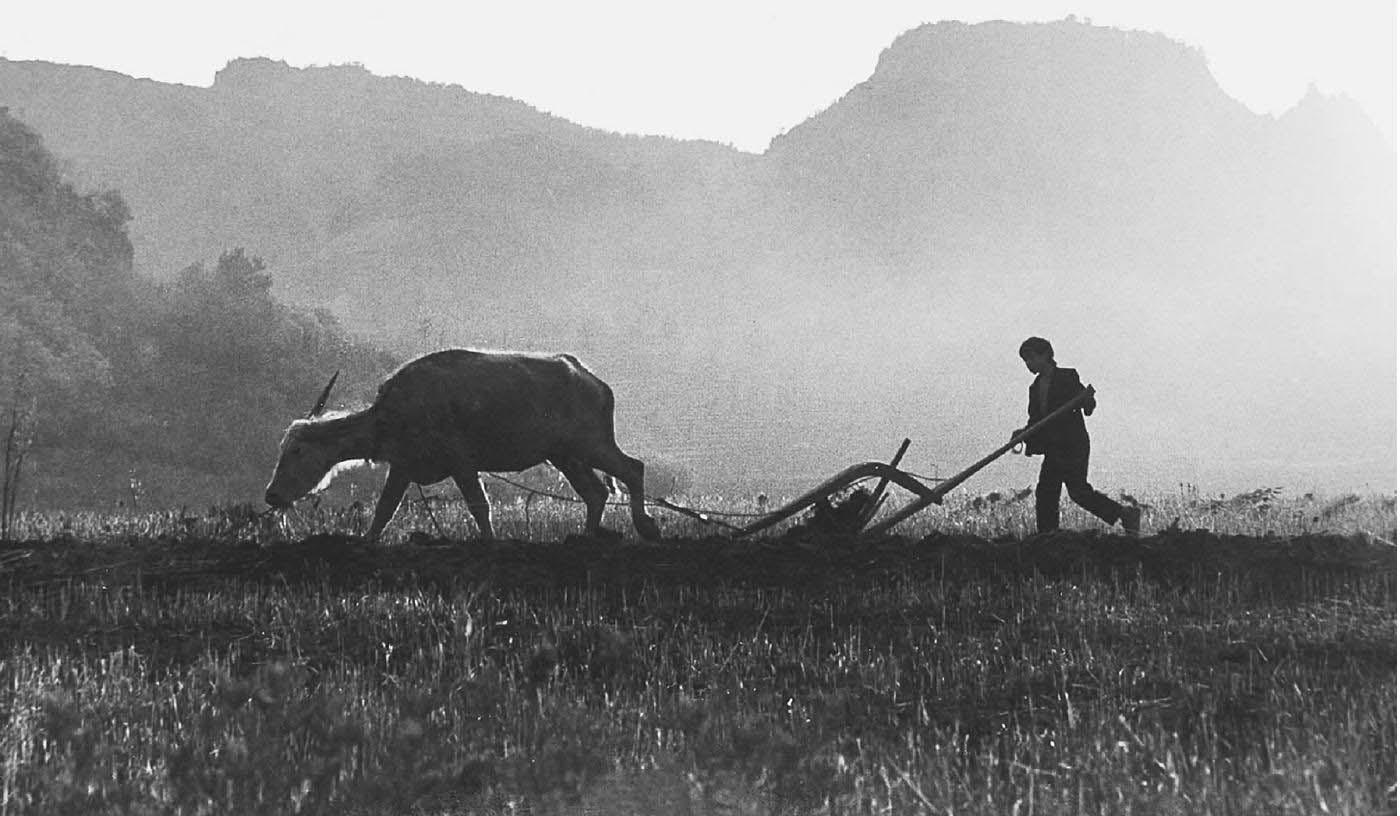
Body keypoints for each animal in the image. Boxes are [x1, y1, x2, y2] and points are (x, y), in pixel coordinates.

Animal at [266, 347, 660, 543]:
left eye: (296, 451)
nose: (271, 495)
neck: (393, 414)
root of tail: (596, 383)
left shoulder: (462, 463)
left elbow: (479, 506)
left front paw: (489, 541)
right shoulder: (404, 466)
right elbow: (384, 509)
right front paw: (367, 541)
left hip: (592, 443)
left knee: (632, 468)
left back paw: (646, 526)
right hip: (565, 455)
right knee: (596, 492)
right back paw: (586, 538)